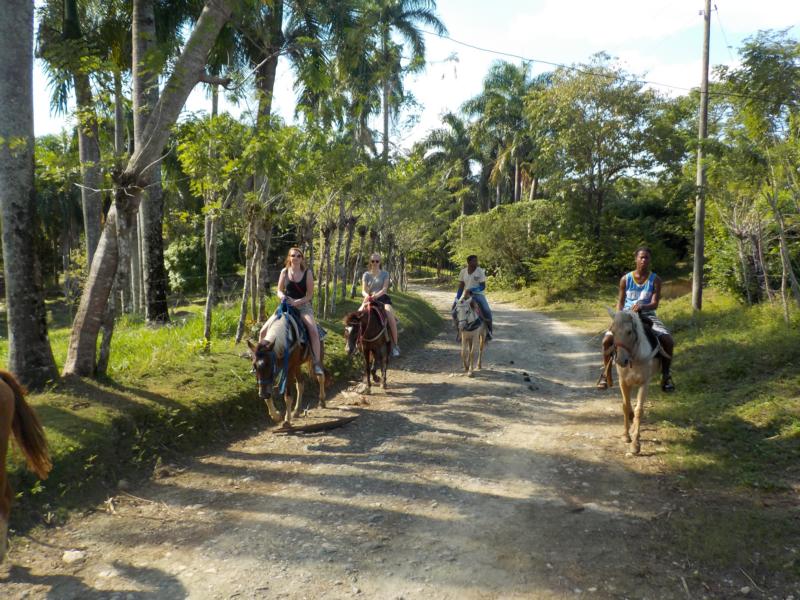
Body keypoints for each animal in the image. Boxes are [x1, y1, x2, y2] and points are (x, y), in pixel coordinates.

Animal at [608, 309, 667, 455]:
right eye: (612, 331)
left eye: (629, 332)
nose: (621, 361)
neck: (634, 358)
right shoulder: (623, 382)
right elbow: (625, 406)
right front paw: (626, 435)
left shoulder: (644, 383)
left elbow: (639, 410)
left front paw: (635, 444)